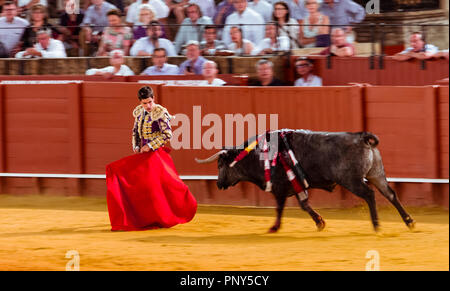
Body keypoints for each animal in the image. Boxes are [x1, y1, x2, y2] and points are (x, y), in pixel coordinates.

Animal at [195, 129, 416, 233]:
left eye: (220, 165)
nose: (218, 184)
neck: (258, 156)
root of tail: (361, 137)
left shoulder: (280, 189)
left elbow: (280, 208)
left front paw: (274, 228)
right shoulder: (296, 186)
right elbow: (304, 205)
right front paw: (320, 223)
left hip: (352, 180)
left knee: (370, 195)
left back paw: (377, 225)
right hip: (376, 174)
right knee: (390, 194)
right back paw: (409, 222)